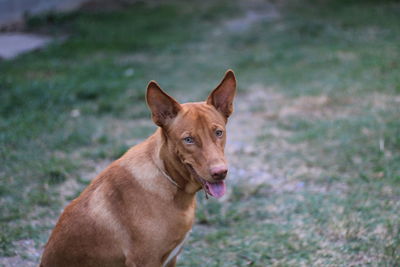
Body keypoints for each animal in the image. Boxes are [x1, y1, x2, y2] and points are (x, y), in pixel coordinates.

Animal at [39, 70, 236, 266]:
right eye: (188, 139)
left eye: (218, 132)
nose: (220, 172)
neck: (169, 182)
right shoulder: (145, 261)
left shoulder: (171, 258)